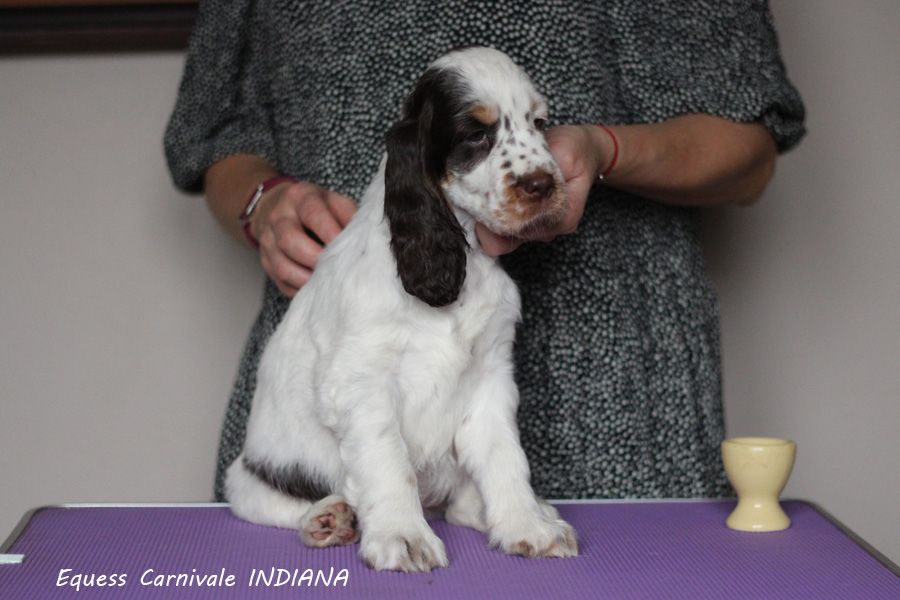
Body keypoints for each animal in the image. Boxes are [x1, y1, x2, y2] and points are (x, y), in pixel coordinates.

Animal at [224, 45, 576, 572]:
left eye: (539, 123)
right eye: (476, 134)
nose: (542, 185)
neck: (461, 256)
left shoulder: (490, 378)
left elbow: (505, 458)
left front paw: (527, 526)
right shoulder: (361, 382)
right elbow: (388, 461)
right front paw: (403, 537)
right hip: (250, 477)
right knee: (276, 504)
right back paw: (329, 519)